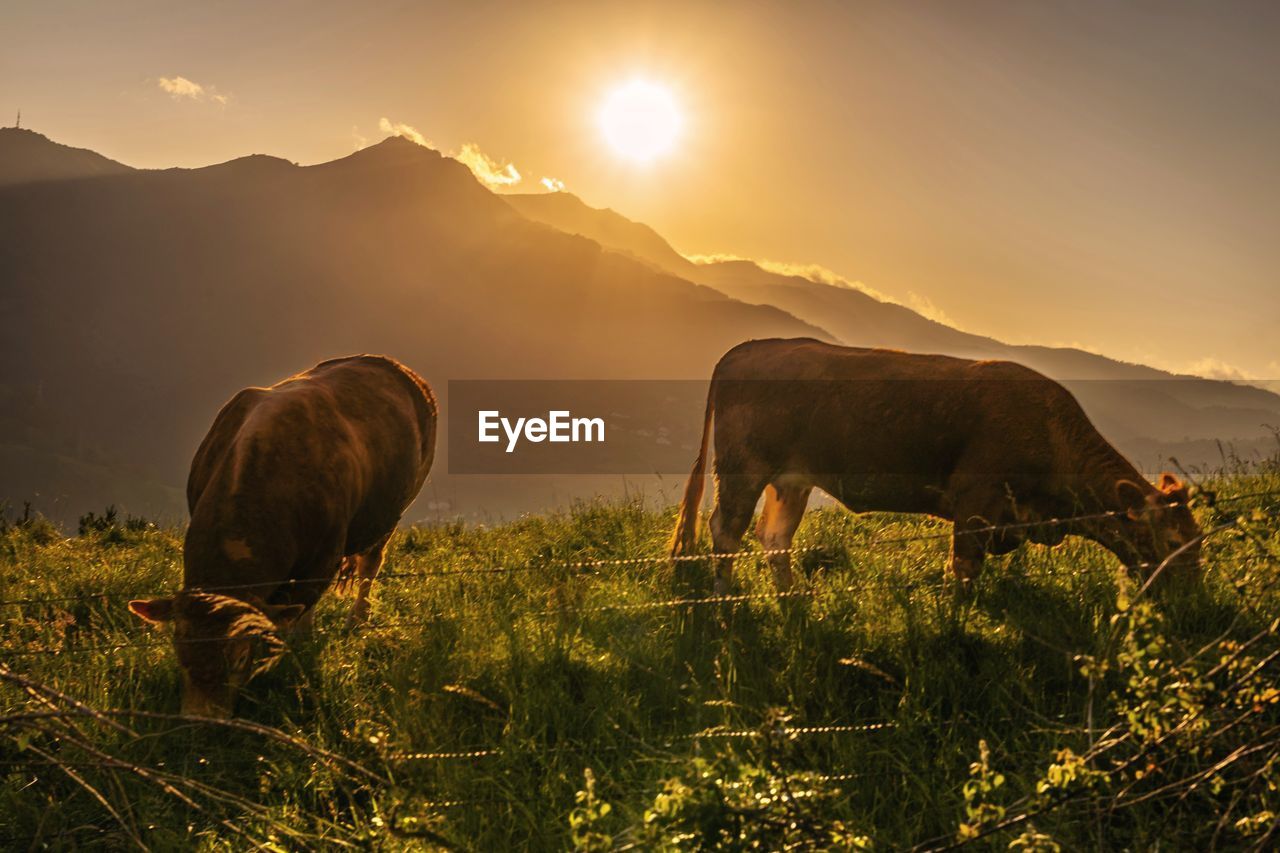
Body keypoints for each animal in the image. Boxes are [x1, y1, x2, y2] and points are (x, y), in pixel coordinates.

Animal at [126, 350, 435, 712]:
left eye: (240, 656)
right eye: (180, 651)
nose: (199, 719)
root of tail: (387, 362)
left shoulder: (322, 561)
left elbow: (297, 620)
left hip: (392, 511)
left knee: (370, 565)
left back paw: (356, 621)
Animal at [670, 338, 1198, 591]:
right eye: (1173, 542)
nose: (1192, 600)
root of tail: (749, 348)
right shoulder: (975, 505)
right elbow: (963, 571)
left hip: (792, 480)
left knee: (774, 537)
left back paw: (794, 599)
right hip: (742, 469)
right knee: (725, 530)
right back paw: (725, 603)